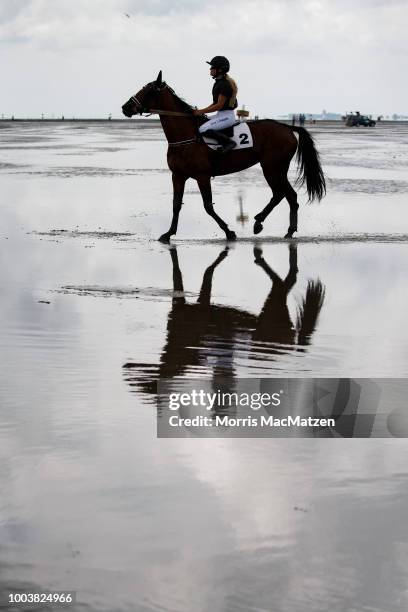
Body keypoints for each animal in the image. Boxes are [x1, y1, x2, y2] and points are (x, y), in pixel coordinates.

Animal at [121, 71, 326, 241]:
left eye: (147, 91)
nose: (125, 107)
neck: (186, 136)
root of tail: (287, 127)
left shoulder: (202, 176)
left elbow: (208, 206)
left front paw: (229, 232)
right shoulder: (177, 176)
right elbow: (176, 204)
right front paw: (169, 233)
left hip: (272, 168)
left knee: (285, 194)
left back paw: (271, 225)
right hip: (275, 169)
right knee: (284, 195)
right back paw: (274, 226)